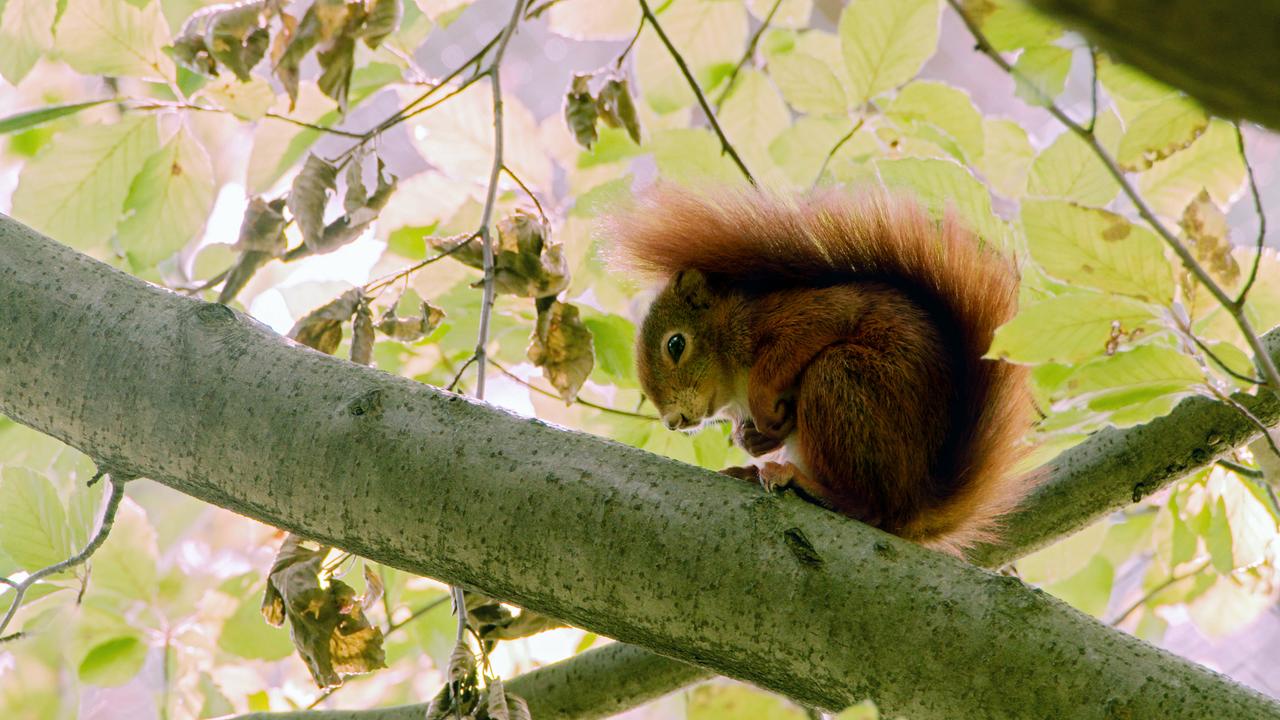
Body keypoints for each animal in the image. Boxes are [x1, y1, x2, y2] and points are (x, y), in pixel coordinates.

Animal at [607, 186, 1034, 555]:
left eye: (675, 344)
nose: (673, 421)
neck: (732, 381)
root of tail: (913, 504)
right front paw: (752, 438)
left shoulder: (794, 317)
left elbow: (810, 333)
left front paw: (763, 408)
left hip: (840, 379)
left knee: (870, 508)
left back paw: (803, 484)